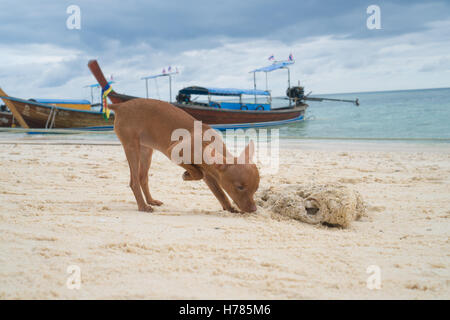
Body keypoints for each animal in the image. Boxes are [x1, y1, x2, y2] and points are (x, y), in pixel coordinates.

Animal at [108, 97, 260, 212]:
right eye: (239, 187)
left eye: (256, 189)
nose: (253, 209)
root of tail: (121, 105)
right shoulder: (173, 152)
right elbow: (198, 173)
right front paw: (187, 175)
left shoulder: (210, 176)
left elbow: (220, 194)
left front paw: (230, 209)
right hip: (132, 147)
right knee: (134, 181)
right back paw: (143, 206)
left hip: (146, 151)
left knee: (142, 178)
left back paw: (150, 201)